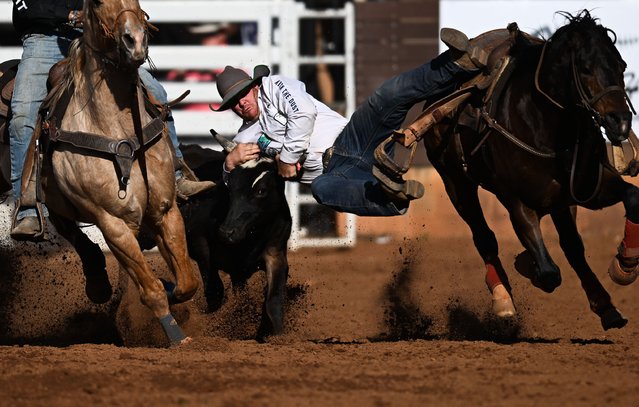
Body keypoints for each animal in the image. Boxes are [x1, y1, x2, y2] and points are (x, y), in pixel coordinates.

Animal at [424, 11, 636, 332]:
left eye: (622, 65)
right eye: (585, 68)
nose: (620, 122)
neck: (543, 124)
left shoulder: (586, 189)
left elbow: (631, 197)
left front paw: (624, 264)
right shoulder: (515, 200)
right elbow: (548, 272)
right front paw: (528, 265)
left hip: (559, 203)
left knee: (572, 246)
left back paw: (606, 306)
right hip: (456, 184)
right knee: (484, 237)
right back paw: (503, 298)